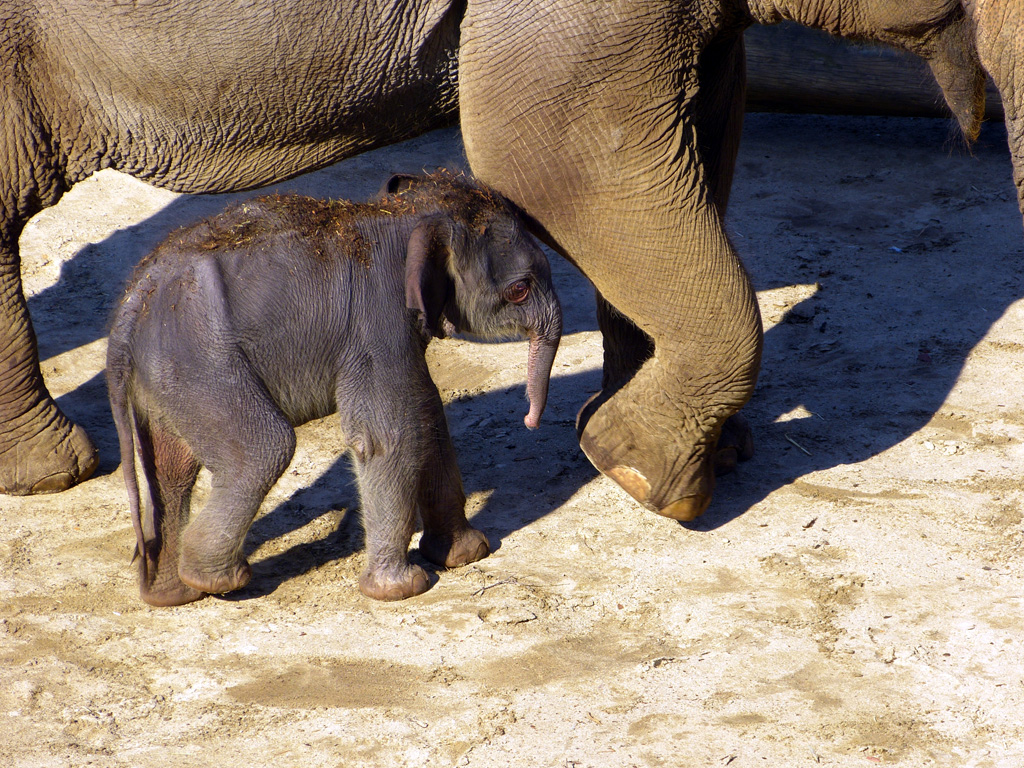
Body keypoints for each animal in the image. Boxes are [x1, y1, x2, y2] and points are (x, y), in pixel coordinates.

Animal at [108, 173, 565, 606]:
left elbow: (429, 417)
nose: (529, 420)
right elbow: (389, 437)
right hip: (202, 363)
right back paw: (218, 580)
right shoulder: (375, 323)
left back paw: (171, 594)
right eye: (519, 290)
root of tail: (129, 308)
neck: (402, 215)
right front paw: (403, 590)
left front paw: (466, 554)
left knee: (172, 469)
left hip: (166, 377)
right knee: (263, 448)